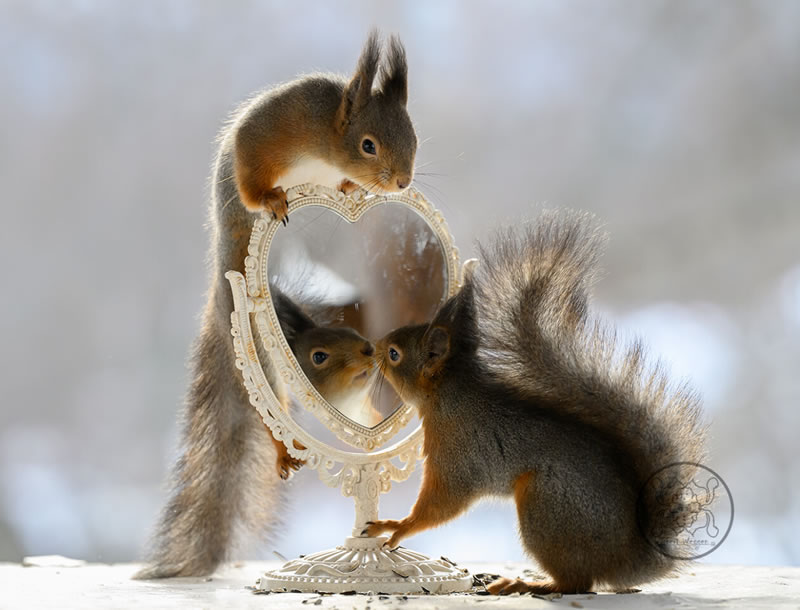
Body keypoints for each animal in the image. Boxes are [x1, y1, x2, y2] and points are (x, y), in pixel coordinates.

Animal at [134, 29, 416, 580]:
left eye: (413, 137)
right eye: (368, 145)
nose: (402, 183)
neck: (327, 139)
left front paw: (348, 187)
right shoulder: (268, 133)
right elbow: (250, 174)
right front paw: (270, 200)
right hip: (261, 348)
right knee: (266, 407)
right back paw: (282, 452)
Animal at [368, 211, 708, 592]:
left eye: (394, 354)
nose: (373, 347)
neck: (448, 395)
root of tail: (627, 559)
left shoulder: (457, 453)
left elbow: (442, 504)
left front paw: (398, 527)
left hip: (545, 503)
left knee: (576, 583)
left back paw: (527, 584)